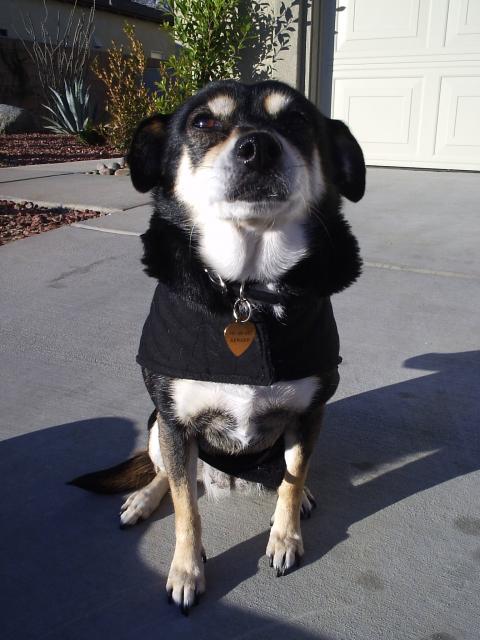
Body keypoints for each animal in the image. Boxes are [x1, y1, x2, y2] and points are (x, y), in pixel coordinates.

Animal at [70, 79, 365, 613]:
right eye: (204, 121)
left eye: (297, 121)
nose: (258, 147)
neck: (245, 290)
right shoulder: (175, 421)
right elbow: (186, 509)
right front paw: (186, 570)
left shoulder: (309, 412)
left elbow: (292, 480)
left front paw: (285, 536)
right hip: (155, 425)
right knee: (165, 473)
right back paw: (144, 499)